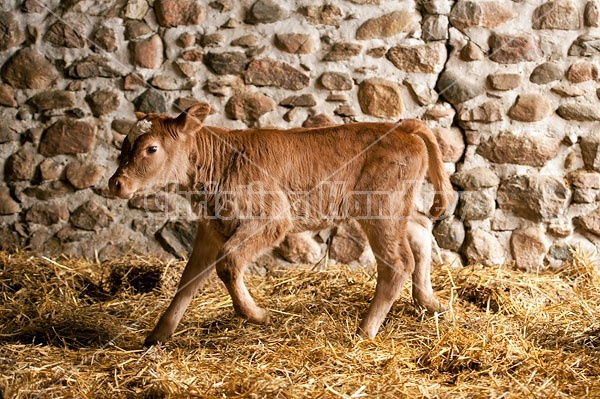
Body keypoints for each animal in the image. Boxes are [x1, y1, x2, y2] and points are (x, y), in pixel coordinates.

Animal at [109, 104, 454, 346]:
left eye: (151, 148)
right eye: (123, 146)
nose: (115, 183)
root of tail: (399, 127)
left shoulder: (272, 218)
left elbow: (229, 263)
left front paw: (257, 315)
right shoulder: (211, 228)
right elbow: (189, 280)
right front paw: (157, 336)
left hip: (382, 209)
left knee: (398, 262)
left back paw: (364, 331)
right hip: (397, 209)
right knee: (420, 231)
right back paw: (430, 303)